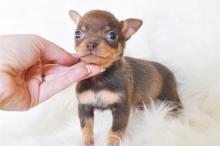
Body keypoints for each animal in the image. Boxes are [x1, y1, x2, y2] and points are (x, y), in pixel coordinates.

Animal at [69, 10, 182, 146]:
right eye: (77, 34)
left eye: (112, 35)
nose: (91, 43)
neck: (99, 77)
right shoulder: (84, 106)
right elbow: (87, 128)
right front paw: (87, 142)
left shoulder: (121, 108)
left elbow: (115, 131)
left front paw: (111, 143)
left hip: (169, 95)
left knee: (177, 106)